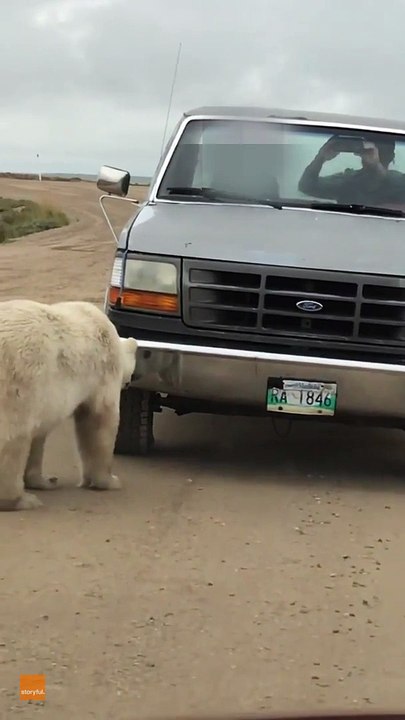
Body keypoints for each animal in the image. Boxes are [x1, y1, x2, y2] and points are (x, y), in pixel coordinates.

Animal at [0, 298, 138, 511]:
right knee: (14, 436)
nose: (129, 382)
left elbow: (39, 436)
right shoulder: (102, 371)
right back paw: (20, 500)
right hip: (18, 376)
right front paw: (108, 480)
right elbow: (99, 420)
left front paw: (45, 480)